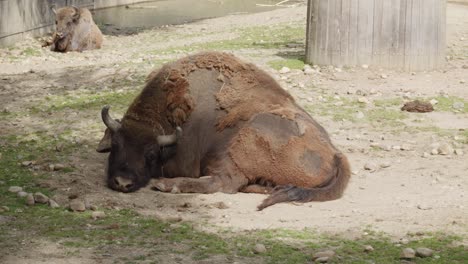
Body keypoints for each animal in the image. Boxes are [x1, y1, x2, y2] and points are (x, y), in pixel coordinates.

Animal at [96, 51, 352, 210]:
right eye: (116, 145)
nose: (123, 182)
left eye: (150, 154)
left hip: (242, 142)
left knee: (223, 182)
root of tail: (336, 153)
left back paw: (167, 185)